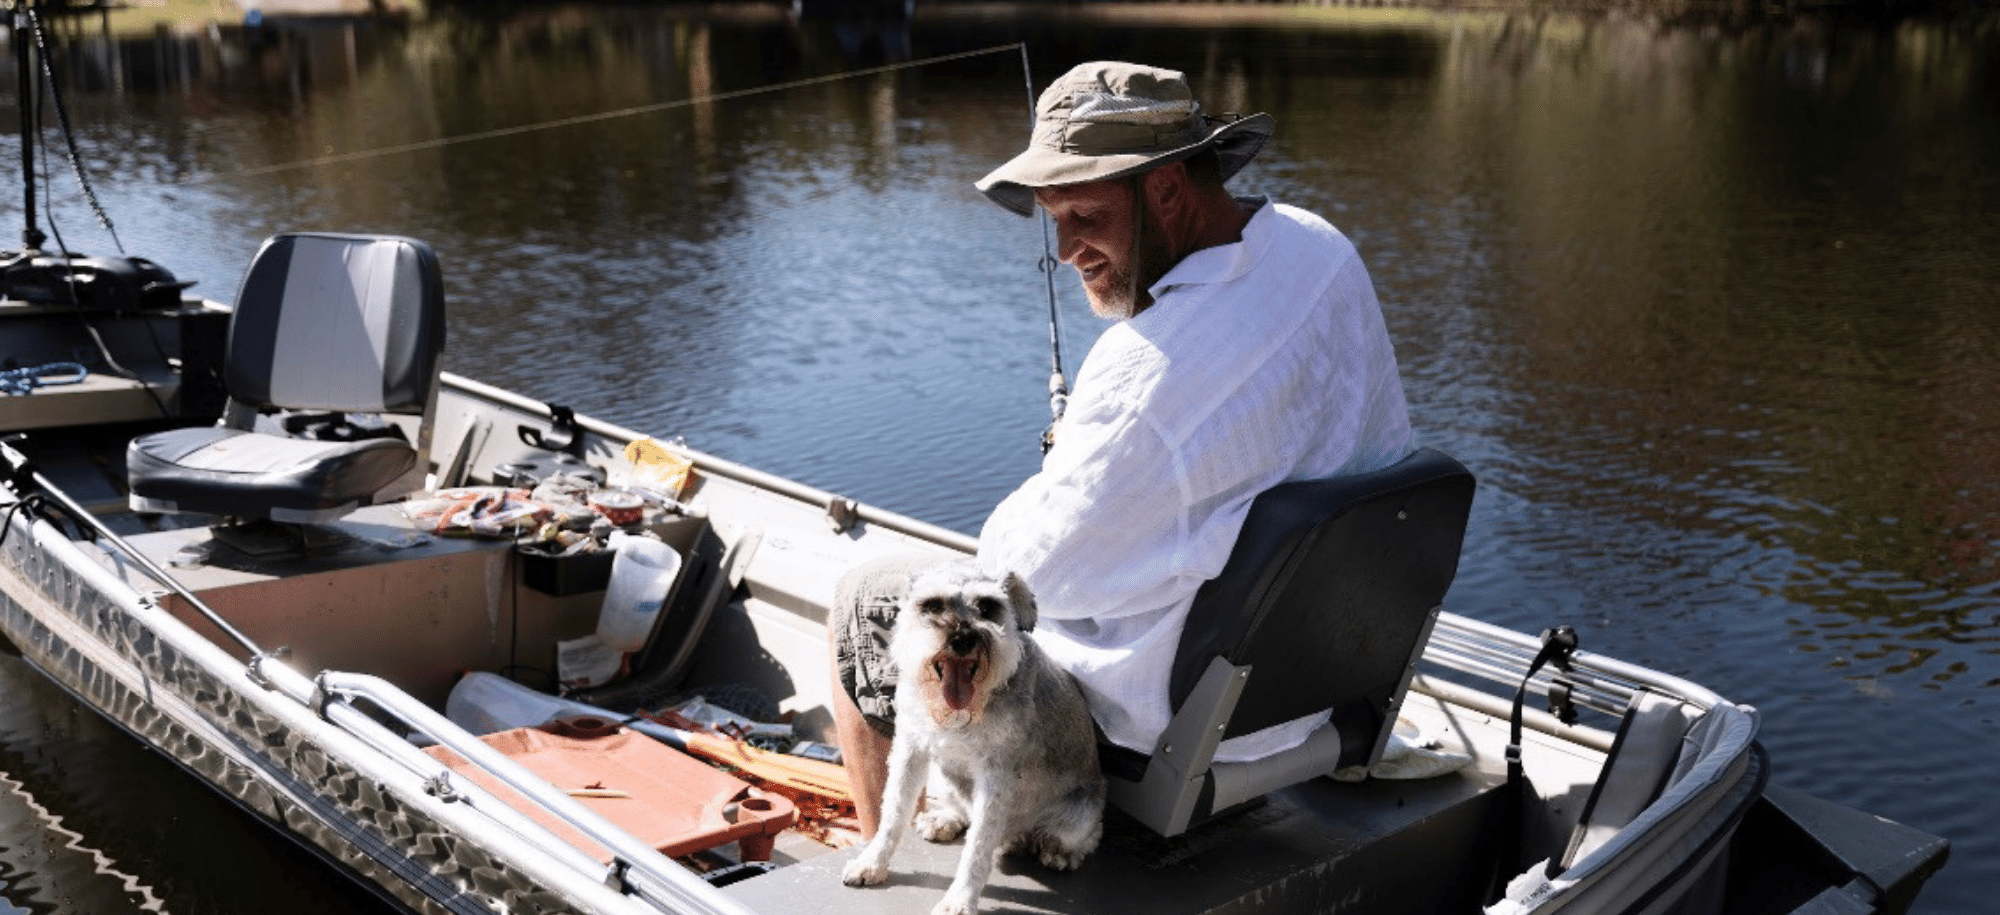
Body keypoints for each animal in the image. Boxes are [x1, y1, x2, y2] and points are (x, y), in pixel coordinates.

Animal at [836, 559, 1104, 911]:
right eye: (932, 605)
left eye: (988, 607)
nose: (963, 638)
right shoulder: (911, 751)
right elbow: (893, 812)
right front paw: (871, 864)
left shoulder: (996, 776)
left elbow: (978, 846)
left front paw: (959, 901)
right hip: (947, 781)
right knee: (960, 809)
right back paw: (943, 821)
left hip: (1079, 815)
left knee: (1084, 837)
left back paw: (1058, 851)